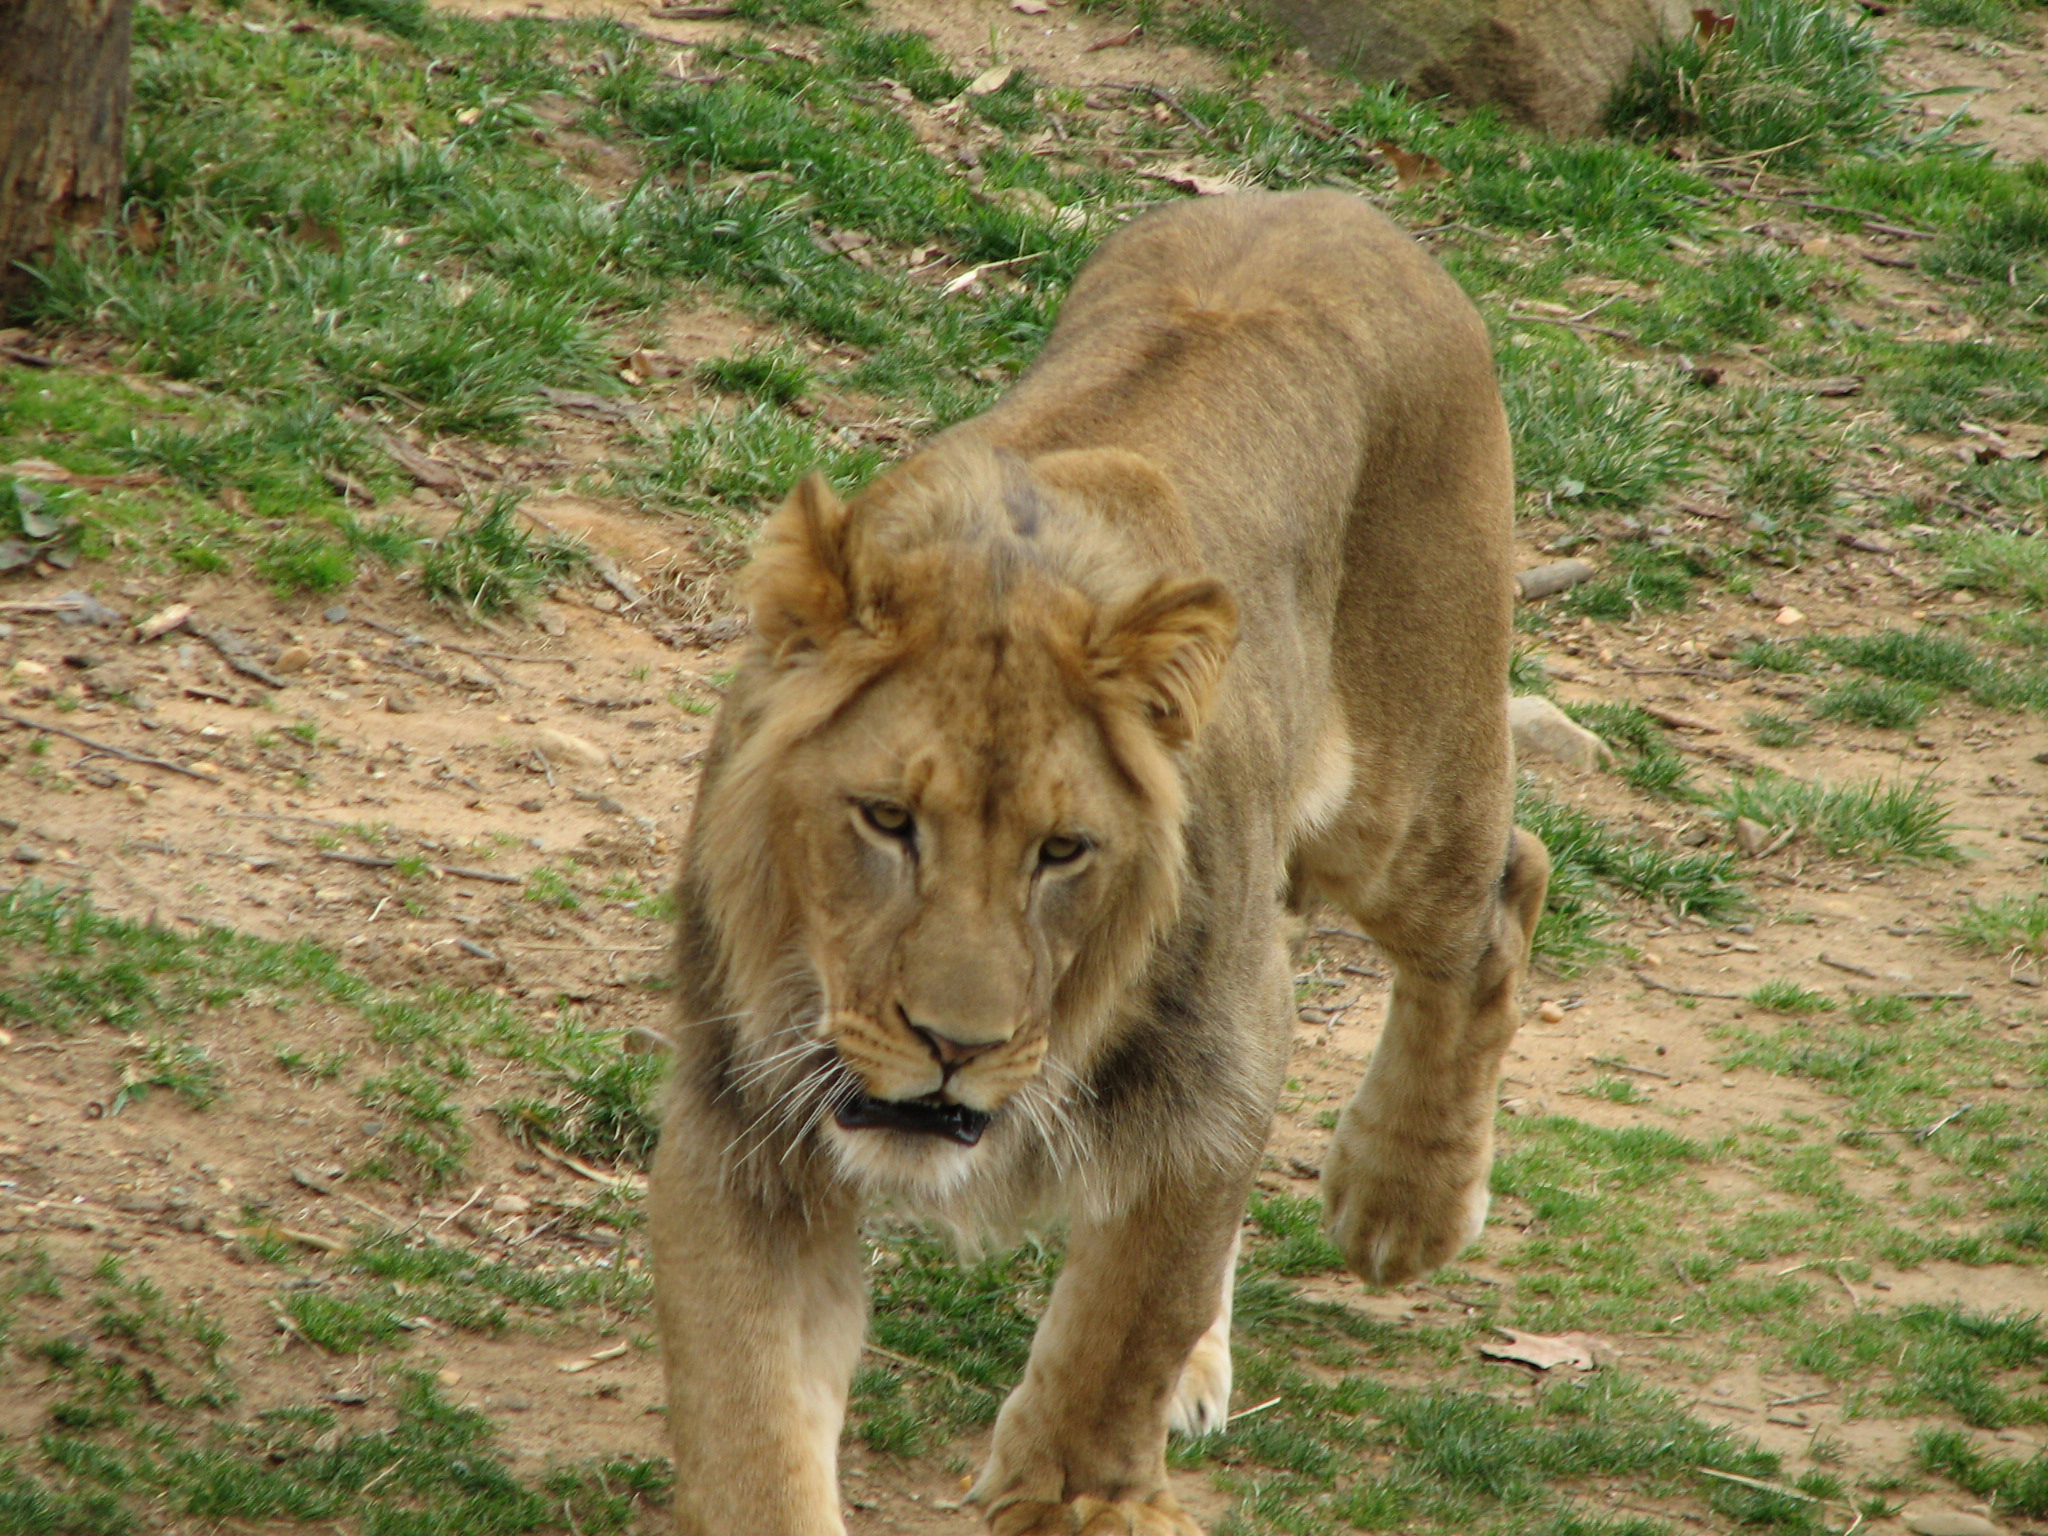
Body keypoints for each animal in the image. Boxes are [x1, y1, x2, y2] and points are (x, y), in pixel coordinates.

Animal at [649, 188, 1551, 1536]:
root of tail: (1323, 197)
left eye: (1061, 851)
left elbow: (1121, 1336)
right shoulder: (740, 1127)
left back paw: (1400, 1204)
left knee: (1502, 898)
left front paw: (1075, 1492)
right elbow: (748, 1432)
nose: (954, 1047)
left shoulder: (1209, 1063)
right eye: (885, 820)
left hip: (1405, 807)